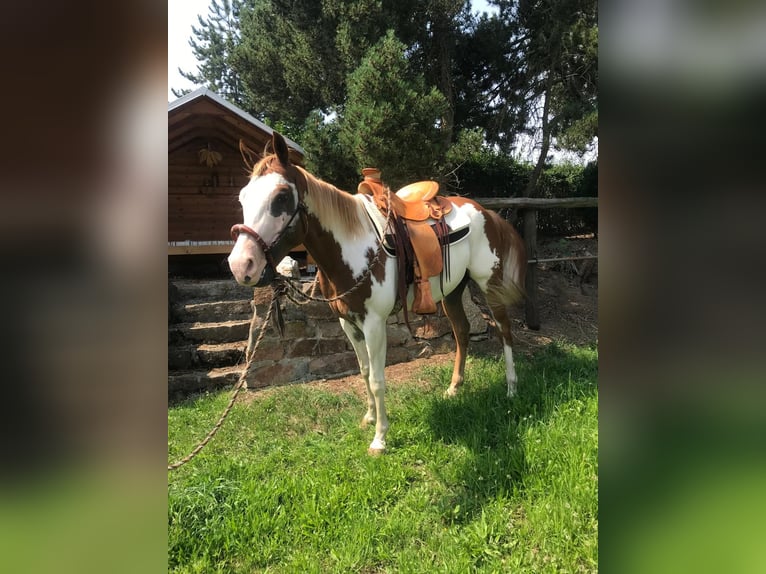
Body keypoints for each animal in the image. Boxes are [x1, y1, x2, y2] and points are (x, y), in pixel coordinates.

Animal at [228, 132, 527, 455]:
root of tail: (486, 211)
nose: (241, 265)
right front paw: (369, 418)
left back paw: (512, 388)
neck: (352, 248)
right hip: (453, 290)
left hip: (488, 284)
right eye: (243, 197)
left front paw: (380, 438)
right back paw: (454, 388)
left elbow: (376, 378)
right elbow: (363, 370)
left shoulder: (374, 324)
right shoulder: (348, 323)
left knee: (504, 331)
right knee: (461, 331)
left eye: (281, 196)